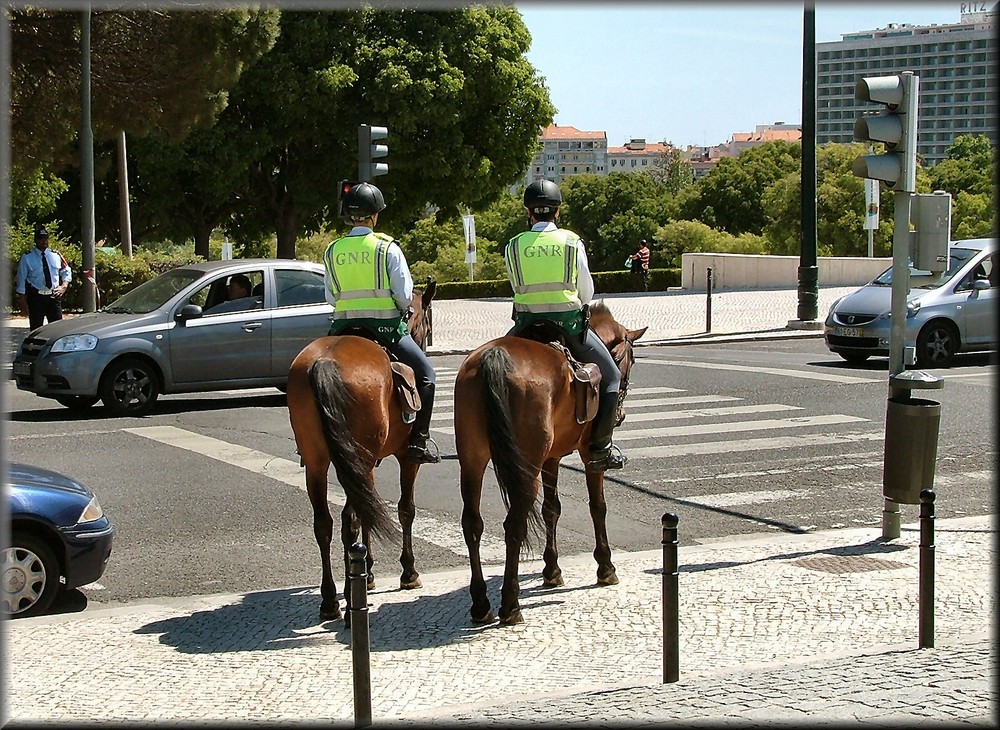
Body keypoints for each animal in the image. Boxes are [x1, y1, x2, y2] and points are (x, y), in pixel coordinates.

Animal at [286, 282, 434, 616]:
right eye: (426, 323)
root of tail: (324, 363)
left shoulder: (367, 465)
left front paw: (368, 573)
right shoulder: (407, 459)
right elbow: (406, 509)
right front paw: (408, 572)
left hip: (320, 462)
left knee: (325, 522)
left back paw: (330, 599)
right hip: (359, 459)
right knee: (350, 517)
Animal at [454, 298, 648, 624]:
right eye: (630, 363)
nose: (621, 414)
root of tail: (493, 357)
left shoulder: (552, 459)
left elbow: (551, 509)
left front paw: (551, 569)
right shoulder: (586, 455)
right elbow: (597, 507)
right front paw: (605, 566)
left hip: (472, 461)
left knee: (472, 523)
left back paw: (481, 604)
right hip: (526, 467)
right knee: (514, 524)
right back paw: (510, 604)